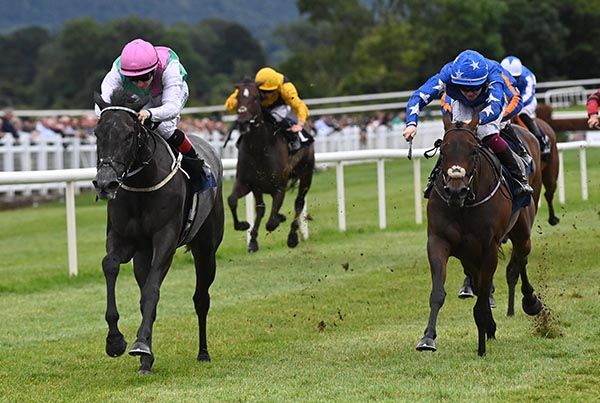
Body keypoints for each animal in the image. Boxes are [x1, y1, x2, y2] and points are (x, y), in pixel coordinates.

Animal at [92, 88, 224, 374]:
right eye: (97, 133)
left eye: (129, 134)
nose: (106, 183)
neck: (142, 184)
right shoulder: (123, 239)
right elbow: (110, 265)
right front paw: (115, 341)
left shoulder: (166, 239)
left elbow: (152, 291)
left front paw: (140, 344)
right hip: (143, 255)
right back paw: (146, 360)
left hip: (206, 249)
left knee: (201, 299)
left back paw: (203, 352)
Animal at [227, 78, 315, 252]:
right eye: (238, 98)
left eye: (255, 98)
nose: (243, 121)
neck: (259, 149)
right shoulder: (247, 183)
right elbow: (232, 200)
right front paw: (245, 228)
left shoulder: (279, 187)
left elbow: (272, 222)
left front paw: (281, 218)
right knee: (261, 209)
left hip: (306, 174)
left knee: (299, 203)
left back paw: (292, 237)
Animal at [416, 113, 544, 356]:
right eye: (443, 150)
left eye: (473, 151)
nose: (456, 190)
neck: (463, 205)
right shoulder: (438, 242)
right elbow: (438, 292)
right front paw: (427, 338)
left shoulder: (488, 248)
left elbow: (484, 294)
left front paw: (484, 334)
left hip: (522, 231)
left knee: (521, 259)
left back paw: (530, 301)